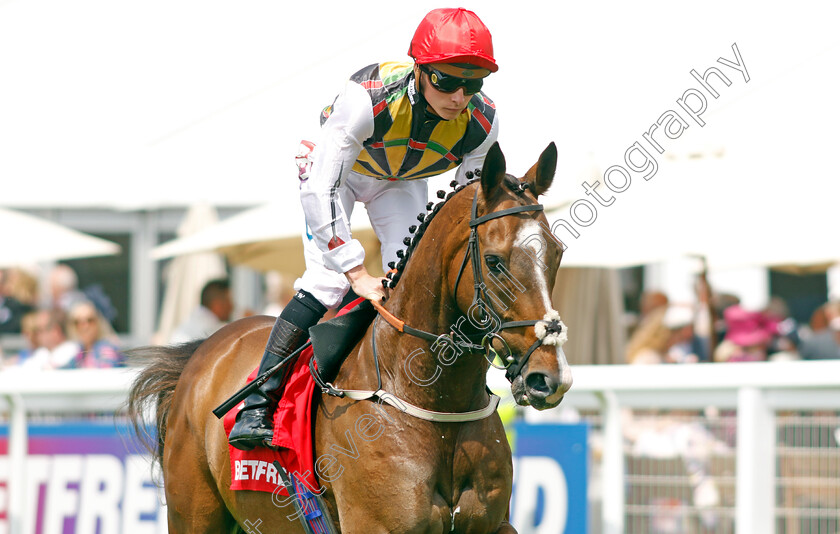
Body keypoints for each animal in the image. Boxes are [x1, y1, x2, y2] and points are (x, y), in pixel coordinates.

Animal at [128, 142, 576, 534]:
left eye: (557, 253)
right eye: (495, 261)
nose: (549, 377)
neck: (433, 402)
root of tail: (203, 353)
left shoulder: (494, 524)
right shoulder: (376, 526)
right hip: (193, 514)